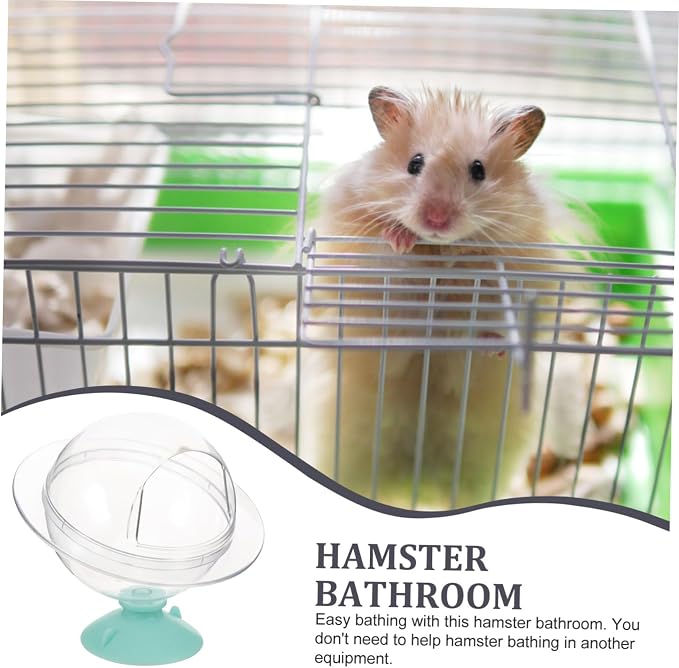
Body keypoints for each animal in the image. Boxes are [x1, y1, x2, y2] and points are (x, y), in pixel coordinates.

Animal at [302, 86, 575, 509]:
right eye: (415, 163)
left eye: (478, 170)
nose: (436, 219)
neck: (436, 252)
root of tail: (415, 487)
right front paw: (400, 238)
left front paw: (495, 343)